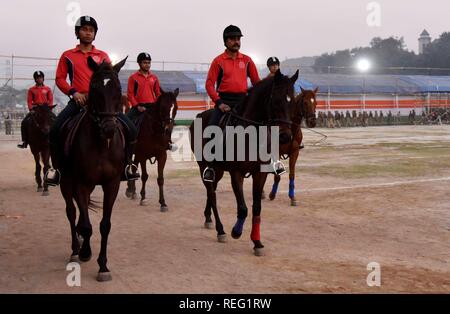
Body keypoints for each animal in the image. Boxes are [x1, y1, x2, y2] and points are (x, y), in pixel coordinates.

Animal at [59, 56, 127, 282]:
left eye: (118, 88)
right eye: (95, 88)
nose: (109, 129)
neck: (101, 144)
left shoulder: (112, 184)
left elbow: (104, 225)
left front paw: (103, 266)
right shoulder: (81, 182)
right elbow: (87, 225)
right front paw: (85, 252)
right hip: (66, 181)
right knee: (72, 212)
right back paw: (75, 249)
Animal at [188, 68, 298, 255]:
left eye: (293, 101)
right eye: (276, 101)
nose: (285, 136)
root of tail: (199, 116)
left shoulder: (260, 174)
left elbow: (256, 208)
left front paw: (257, 242)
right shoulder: (236, 173)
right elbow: (243, 208)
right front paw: (236, 231)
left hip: (218, 171)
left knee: (212, 191)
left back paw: (208, 218)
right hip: (204, 167)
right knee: (212, 193)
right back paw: (220, 230)